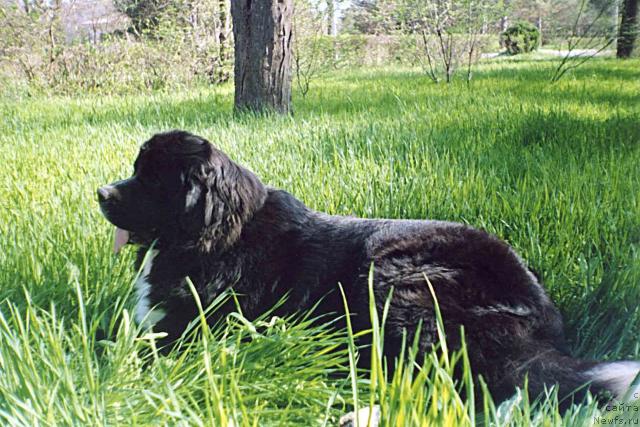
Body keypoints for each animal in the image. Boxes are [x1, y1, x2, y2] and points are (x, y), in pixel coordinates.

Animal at [97, 130, 636, 412]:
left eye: (151, 179)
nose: (101, 193)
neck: (216, 233)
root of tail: (541, 316)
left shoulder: (191, 330)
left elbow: (137, 354)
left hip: (395, 281)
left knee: (448, 386)